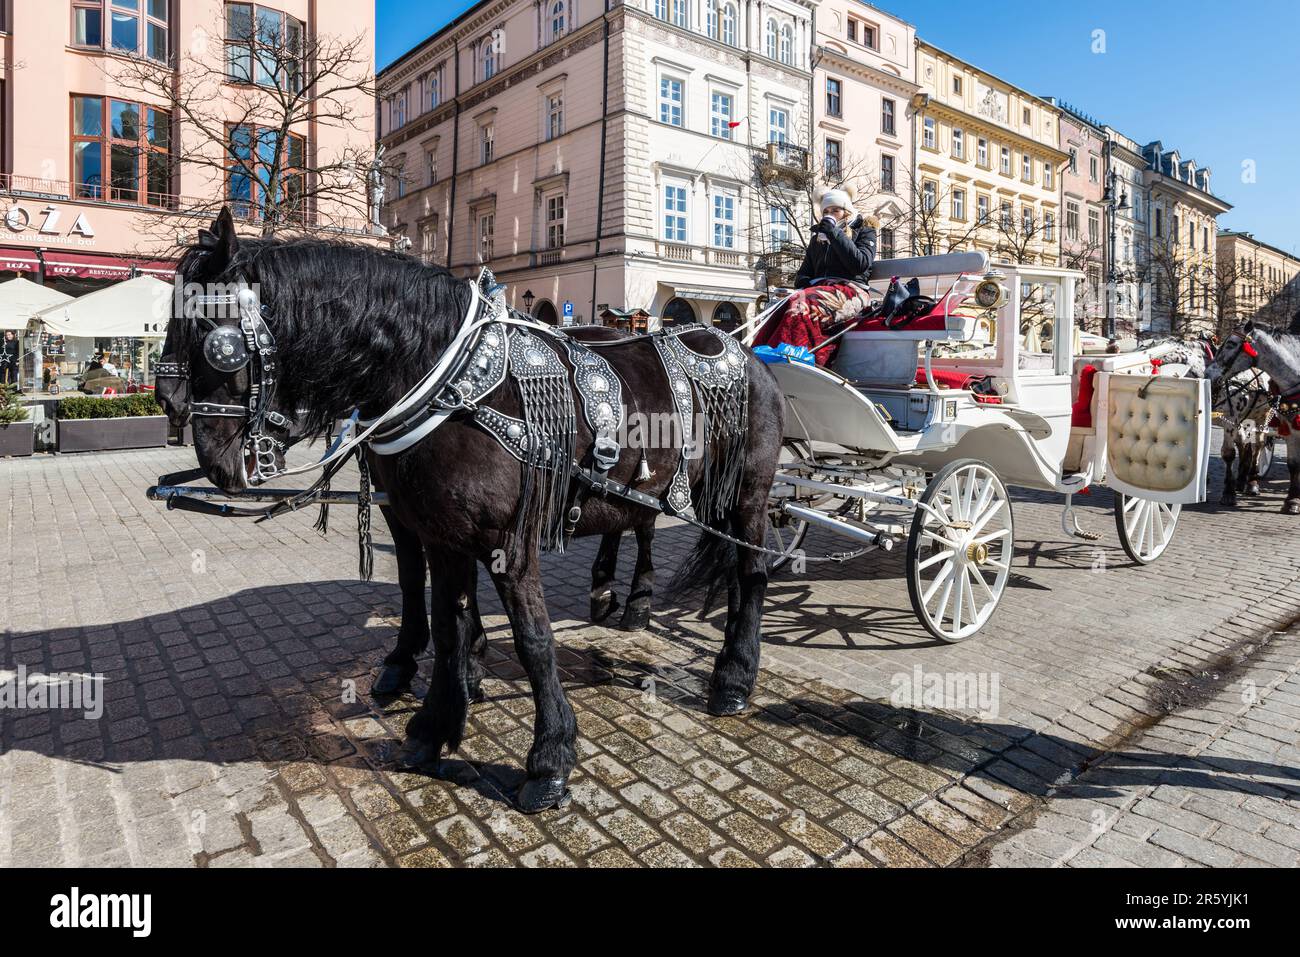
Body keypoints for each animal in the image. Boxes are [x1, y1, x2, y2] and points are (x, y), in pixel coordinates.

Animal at [157, 269, 660, 702]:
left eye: (216, 346)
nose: (169, 404)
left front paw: (462, 663)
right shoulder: (402, 506)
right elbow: (415, 575)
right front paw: (427, 660)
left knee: (646, 525)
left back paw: (635, 603)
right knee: (621, 518)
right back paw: (603, 590)